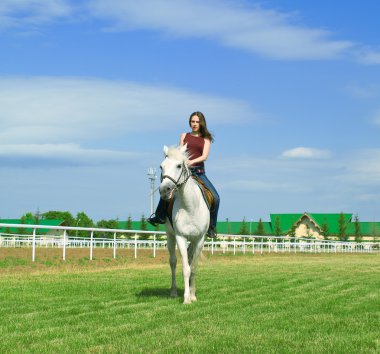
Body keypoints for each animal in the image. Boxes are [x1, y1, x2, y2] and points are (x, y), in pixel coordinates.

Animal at [159, 145, 209, 304]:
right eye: (161, 166)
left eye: (179, 165)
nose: (164, 190)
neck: (190, 207)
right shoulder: (181, 237)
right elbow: (185, 268)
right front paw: (186, 298)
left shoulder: (199, 239)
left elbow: (193, 268)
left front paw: (193, 295)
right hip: (170, 236)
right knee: (173, 262)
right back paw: (174, 292)